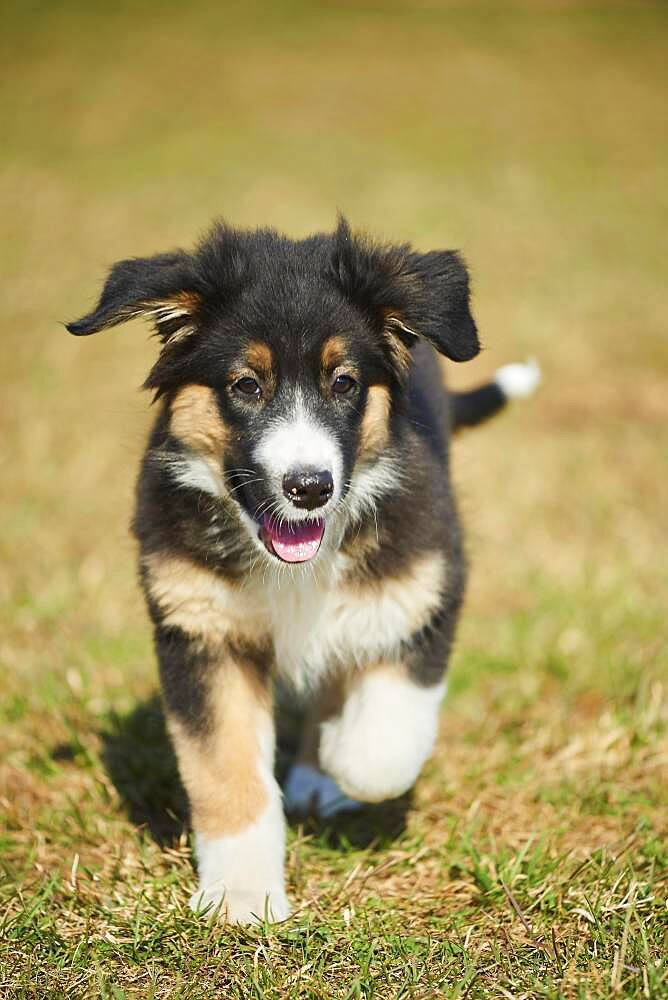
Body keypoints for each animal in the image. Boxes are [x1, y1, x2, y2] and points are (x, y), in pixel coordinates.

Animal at [68, 217, 536, 920]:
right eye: (246, 386)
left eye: (343, 382)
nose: (310, 488)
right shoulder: (201, 632)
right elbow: (225, 771)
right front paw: (240, 897)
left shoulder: (423, 586)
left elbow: (384, 747)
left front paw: (342, 754)